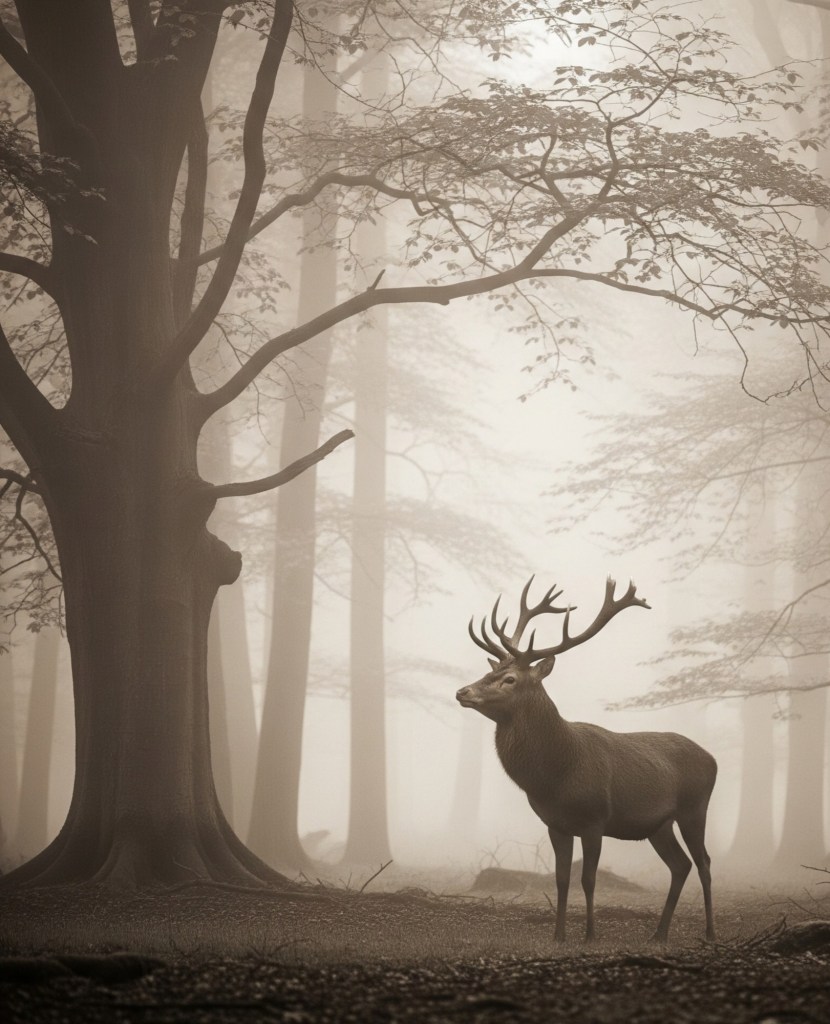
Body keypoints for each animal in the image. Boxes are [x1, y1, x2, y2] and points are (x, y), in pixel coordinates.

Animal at [456, 575, 716, 944]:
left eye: (510, 679)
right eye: (487, 672)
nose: (462, 692)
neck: (555, 777)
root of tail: (713, 759)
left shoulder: (595, 820)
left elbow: (588, 879)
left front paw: (591, 934)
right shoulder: (554, 824)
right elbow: (561, 879)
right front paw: (558, 935)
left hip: (695, 807)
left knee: (704, 862)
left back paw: (710, 932)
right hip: (658, 824)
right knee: (681, 865)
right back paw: (659, 934)